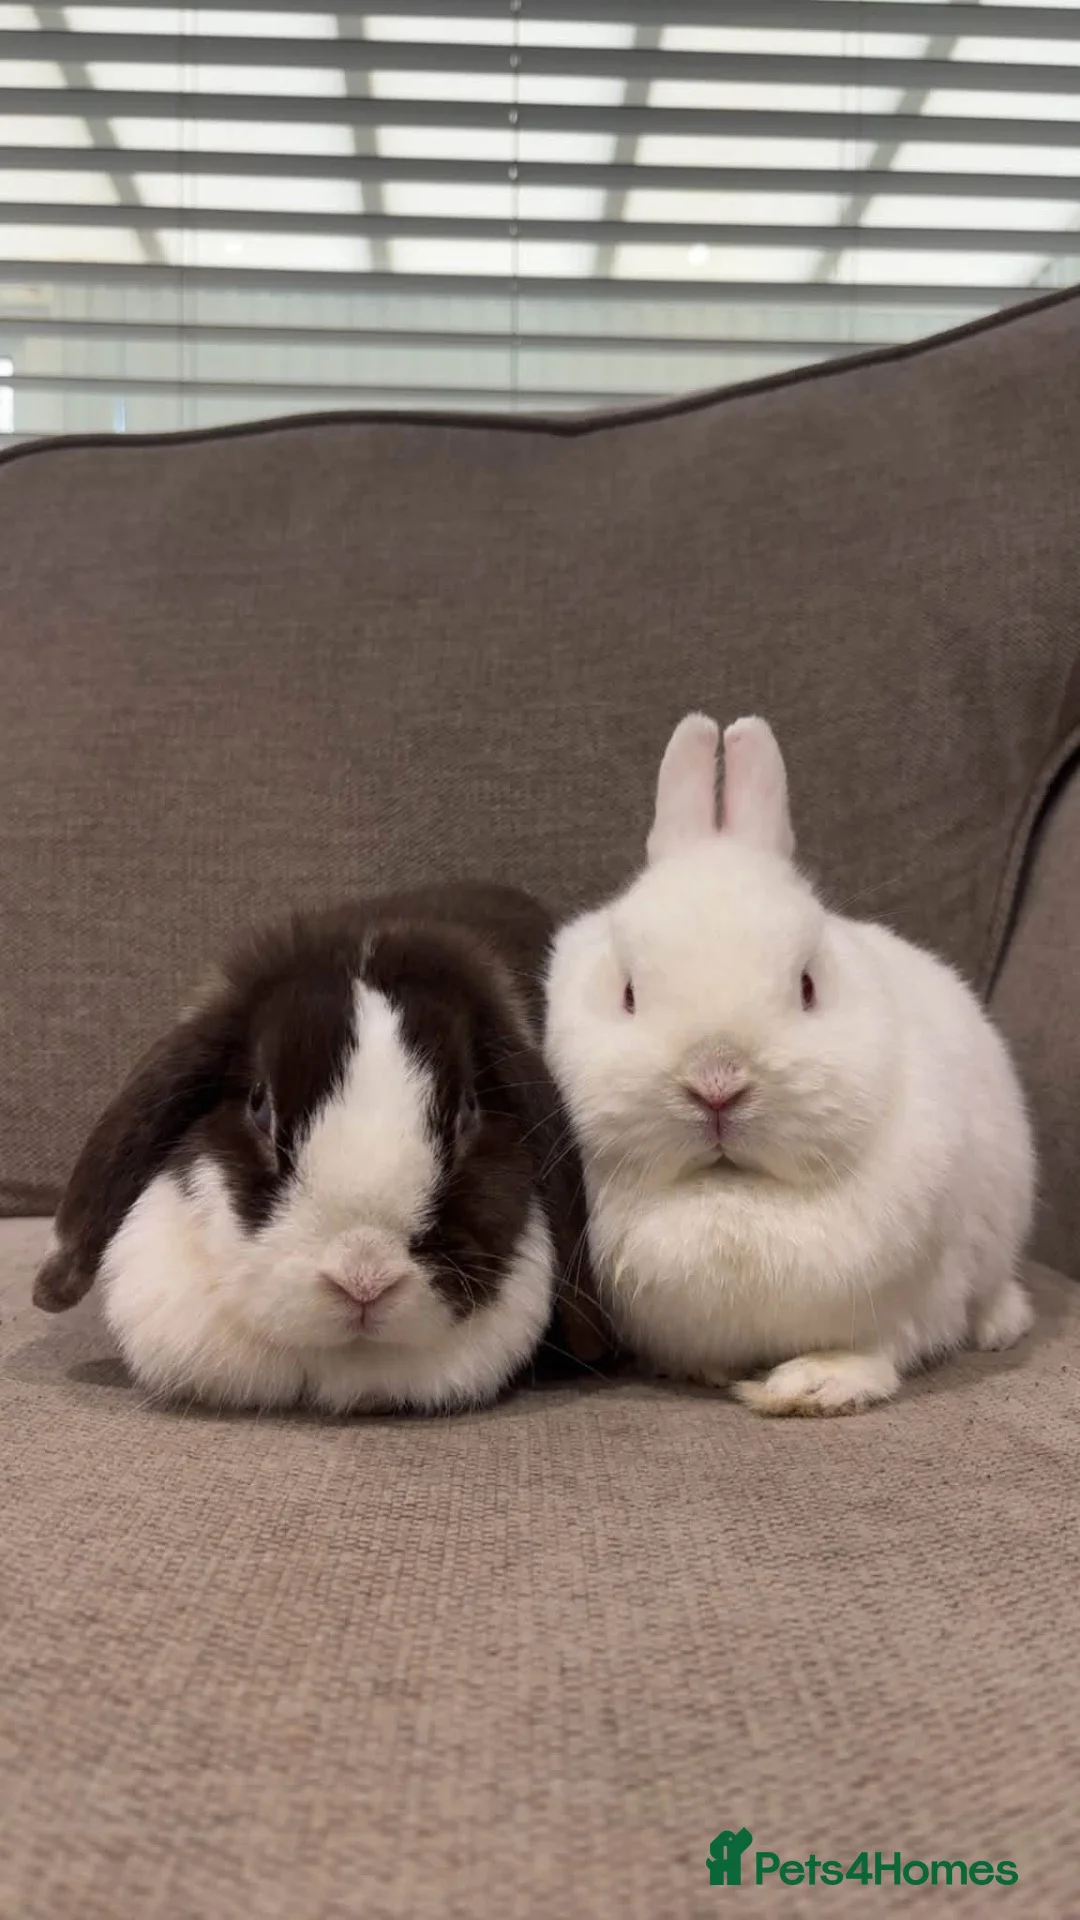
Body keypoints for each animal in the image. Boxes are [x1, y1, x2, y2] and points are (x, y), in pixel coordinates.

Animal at [544, 713, 1036, 1416]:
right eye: (628, 993)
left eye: (808, 986)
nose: (716, 1084)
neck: (731, 1194)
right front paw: (706, 1371)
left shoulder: (917, 1299)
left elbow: (879, 1349)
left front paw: (811, 1386)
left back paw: (999, 1325)